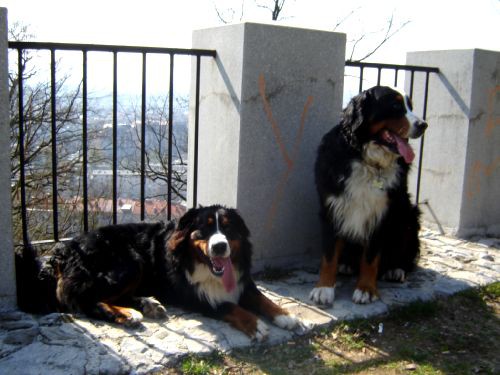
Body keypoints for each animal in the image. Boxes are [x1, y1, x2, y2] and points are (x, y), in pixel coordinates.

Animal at [17, 206, 300, 340]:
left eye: (229, 229)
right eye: (205, 229)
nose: (220, 246)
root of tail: (66, 248)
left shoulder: (242, 281)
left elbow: (263, 299)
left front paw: (287, 317)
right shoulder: (196, 297)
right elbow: (230, 307)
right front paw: (257, 326)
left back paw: (147, 304)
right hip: (129, 263)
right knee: (84, 300)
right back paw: (127, 314)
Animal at [310, 86, 428, 306]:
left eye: (410, 106)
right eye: (395, 105)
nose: (423, 125)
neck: (368, 161)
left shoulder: (382, 214)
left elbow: (371, 258)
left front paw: (366, 289)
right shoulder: (331, 208)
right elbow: (329, 256)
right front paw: (324, 288)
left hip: (408, 216)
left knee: (405, 256)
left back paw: (395, 269)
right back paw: (346, 265)